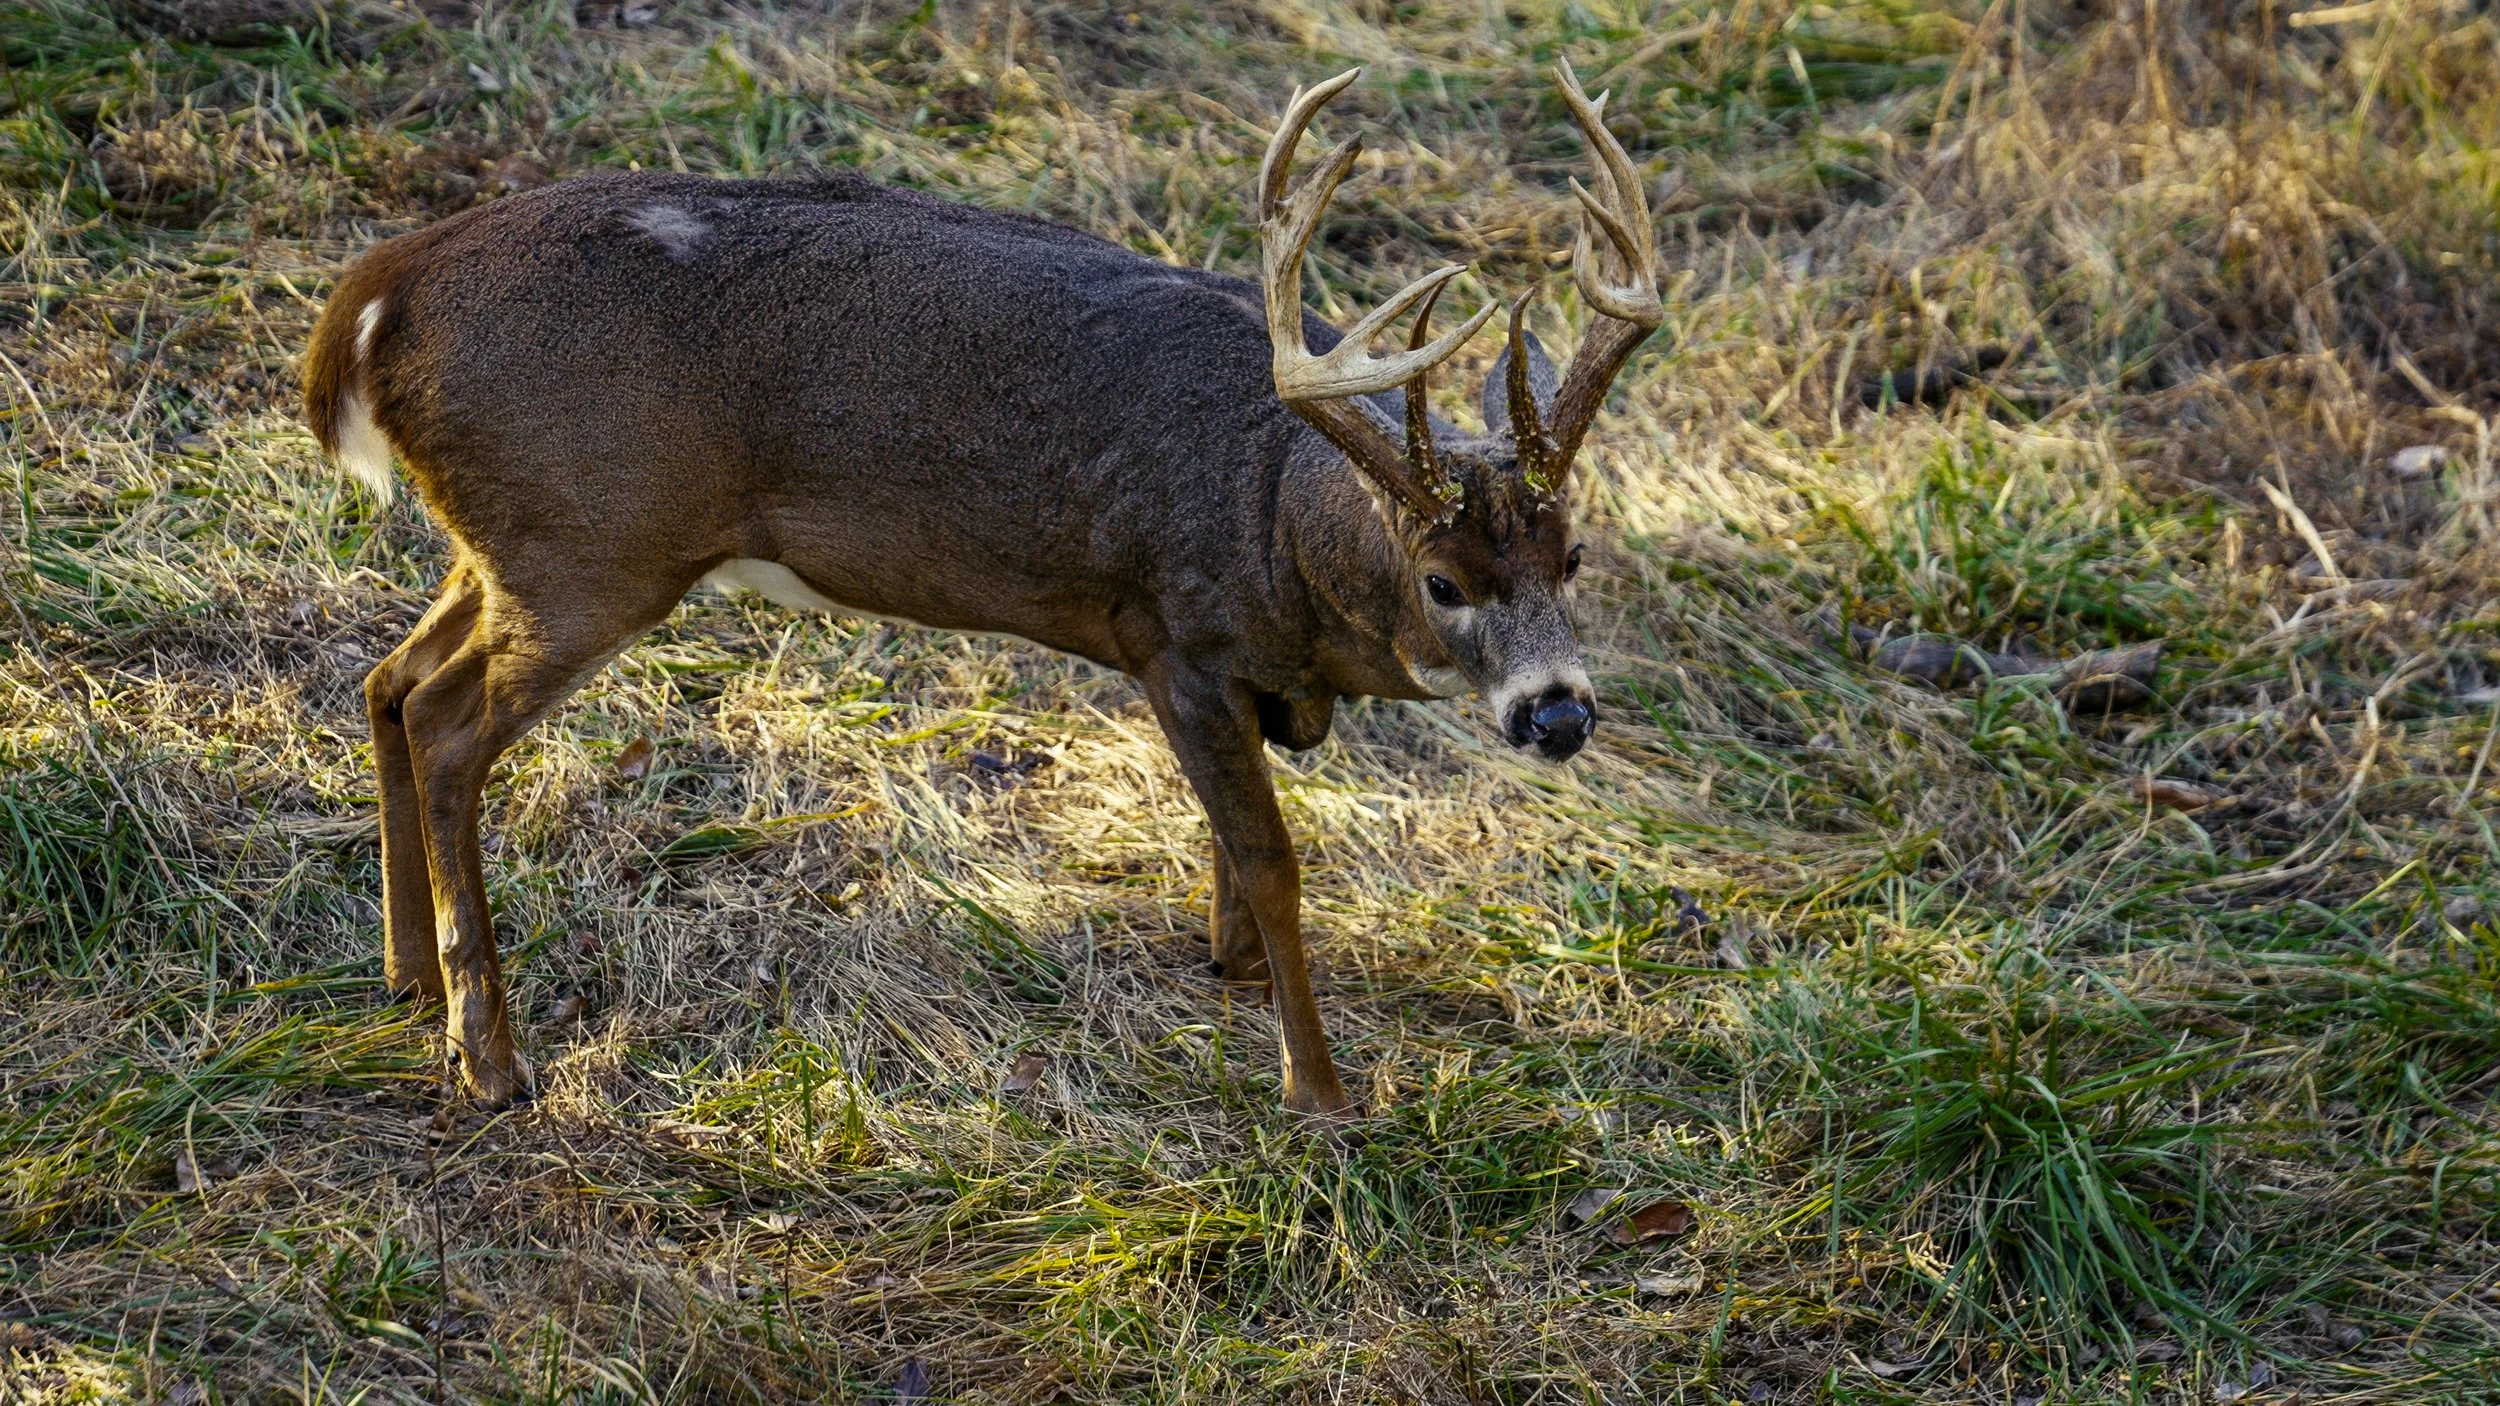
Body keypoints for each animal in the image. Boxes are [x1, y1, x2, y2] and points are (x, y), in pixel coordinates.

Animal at [299, 61, 1664, 1119]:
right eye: (1440, 578)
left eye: (1574, 557)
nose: (1558, 712)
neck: (1273, 504)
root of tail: (374, 296)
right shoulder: (1174, 636)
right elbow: (1270, 855)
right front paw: (1321, 1089)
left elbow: (1236, 854)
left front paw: (1233, 971)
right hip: (592, 545)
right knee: (447, 723)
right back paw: (489, 1060)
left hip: (518, 545)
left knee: (389, 679)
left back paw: (407, 974)